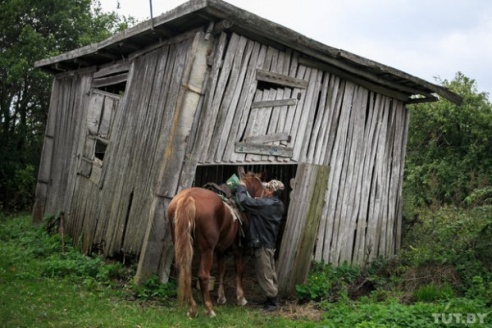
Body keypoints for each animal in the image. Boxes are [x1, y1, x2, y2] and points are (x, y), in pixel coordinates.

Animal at [166, 172, 266, 318]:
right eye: (262, 187)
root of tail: (187, 197)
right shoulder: (238, 249)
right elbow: (239, 271)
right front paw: (241, 298)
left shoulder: (221, 250)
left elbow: (221, 271)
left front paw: (221, 297)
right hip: (207, 250)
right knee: (203, 275)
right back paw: (209, 309)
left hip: (181, 243)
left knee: (185, 271)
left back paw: (192, 309)